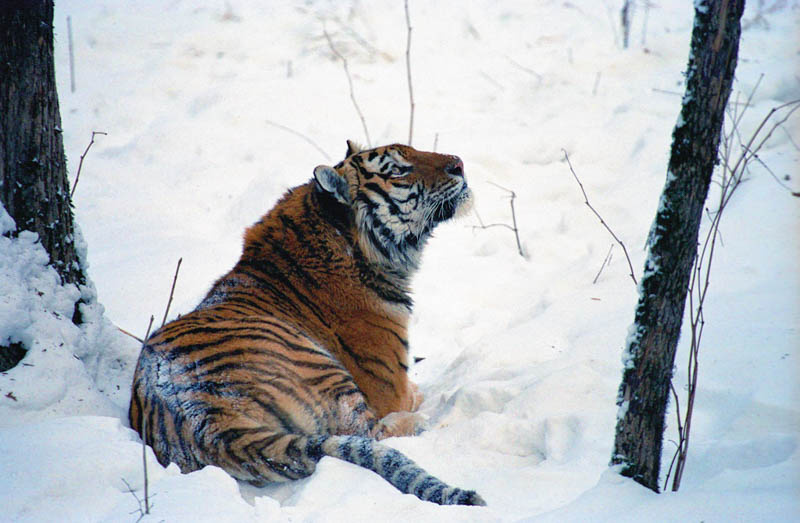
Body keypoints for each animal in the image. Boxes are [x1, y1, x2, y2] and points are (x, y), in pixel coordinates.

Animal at [128, 140, 484, 508]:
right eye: (398, 170)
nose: (458, 163)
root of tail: (207, 423)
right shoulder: (389, 389)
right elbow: (408, 394)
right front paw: (421, 395)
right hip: (323, 370)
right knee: (366, 432)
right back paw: (419, 423)